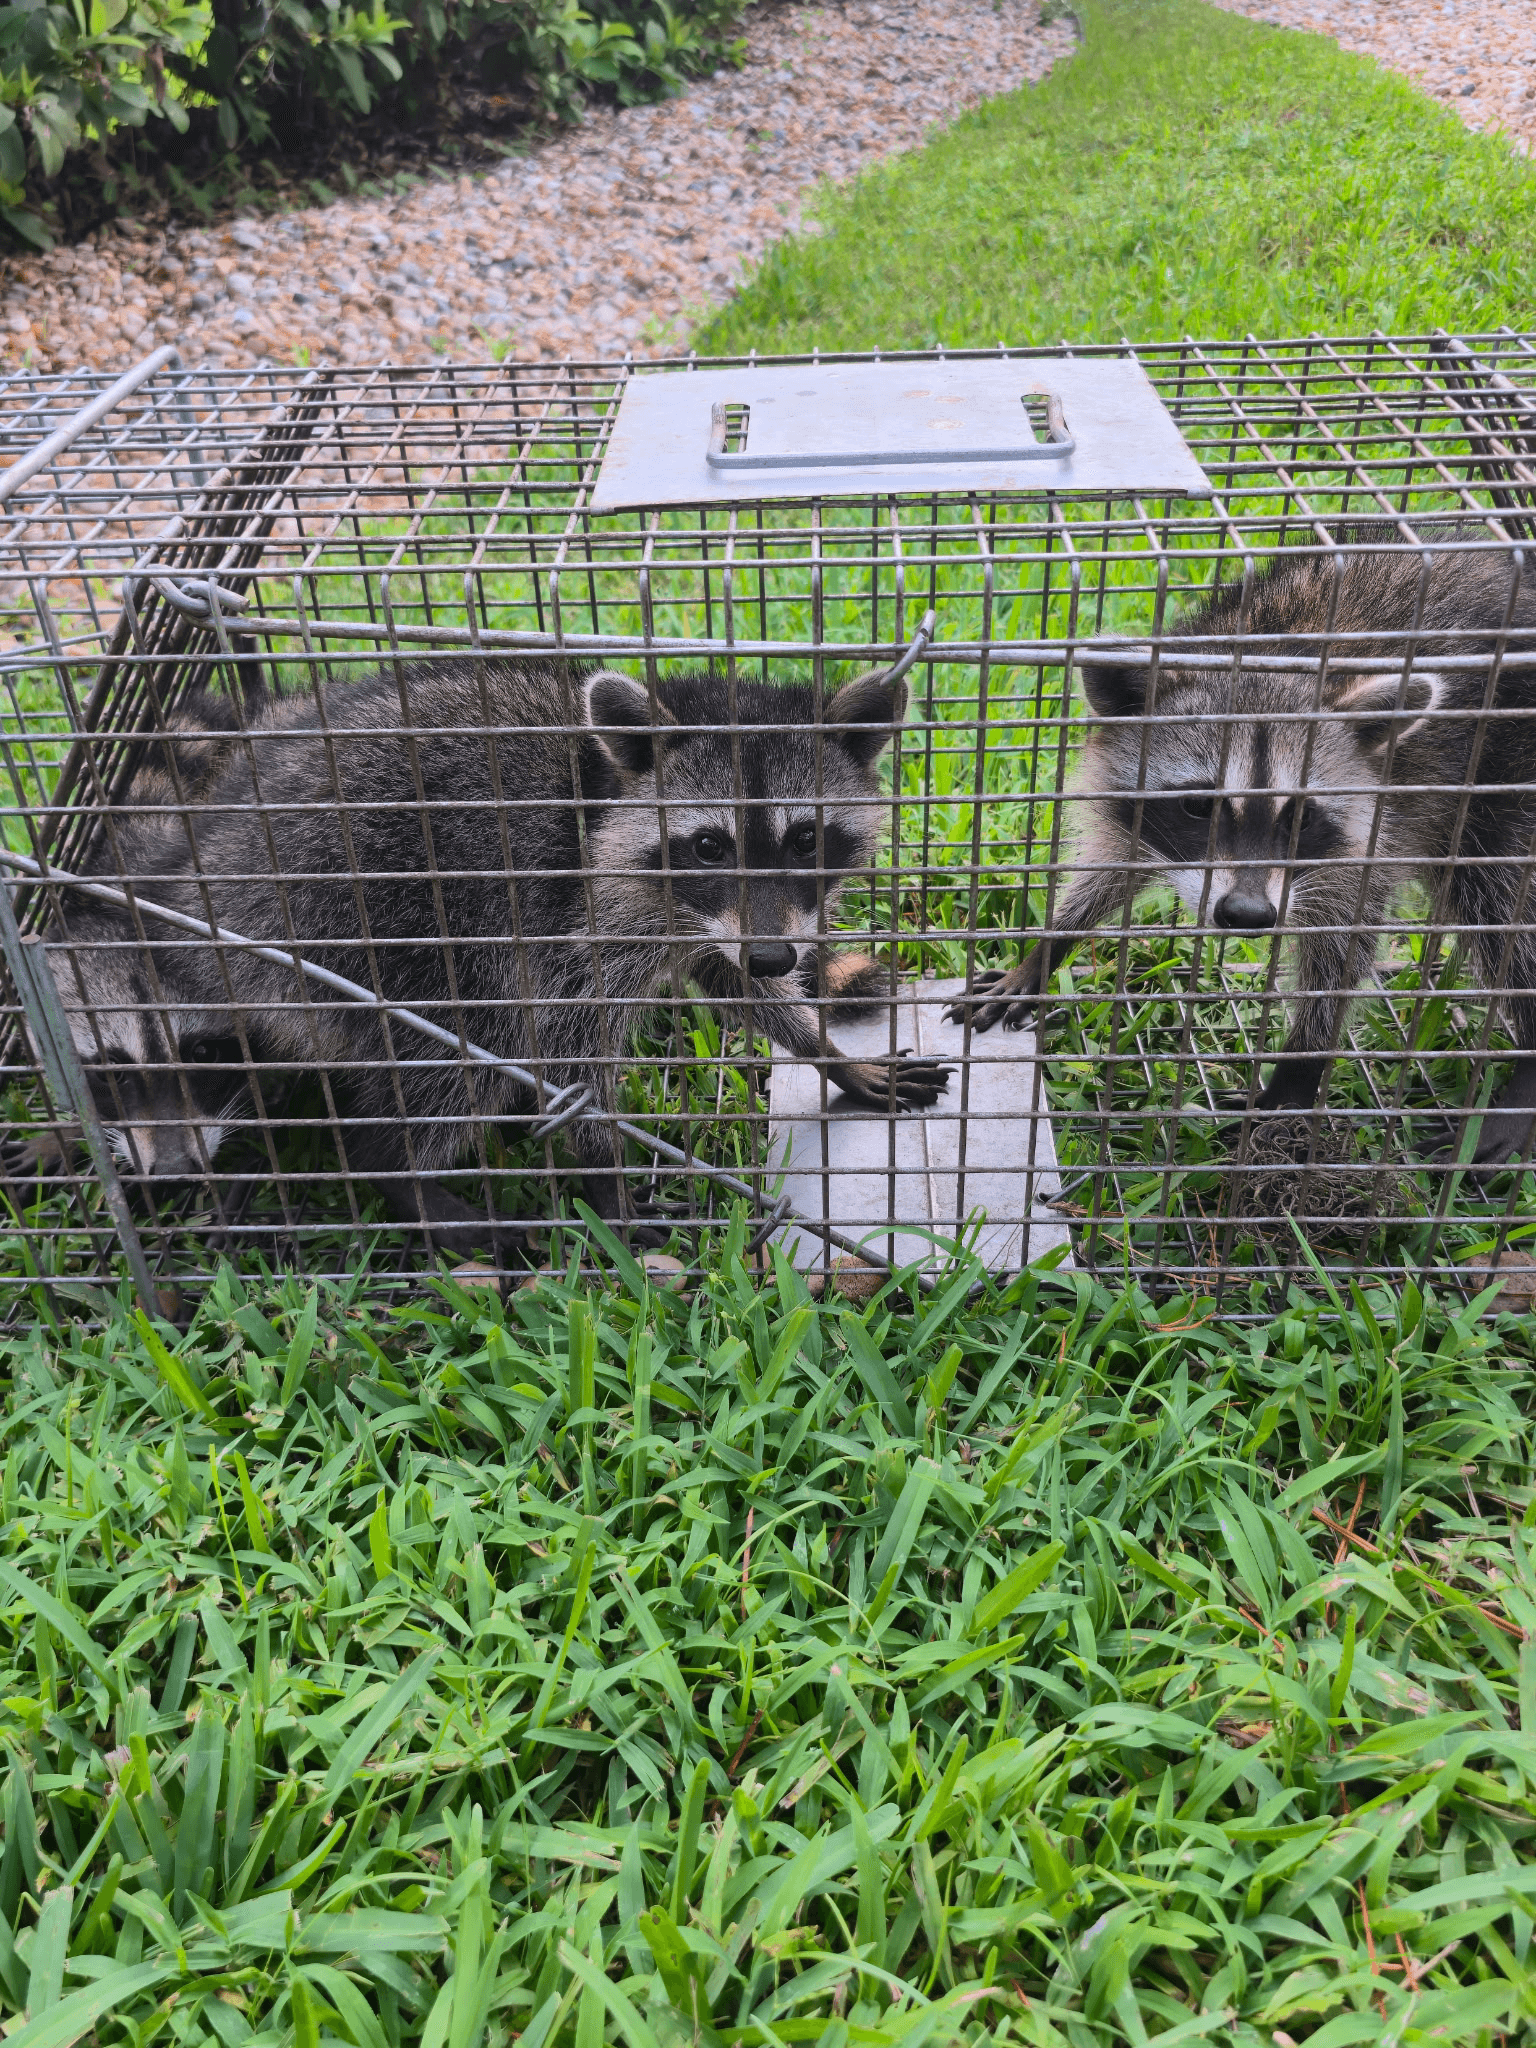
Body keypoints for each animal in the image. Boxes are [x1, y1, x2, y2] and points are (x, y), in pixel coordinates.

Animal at [35, 656, 948, 1248]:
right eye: (709, 845)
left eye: (805, 839)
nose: (774, 957)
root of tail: (190, 876)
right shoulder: (567, 913)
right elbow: (573, 1048)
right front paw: (606, 1180)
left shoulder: (717, 922)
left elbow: (728, 980)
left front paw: (826, 1052)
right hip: (359, 922)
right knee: (464, 1044)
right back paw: (404, 1180)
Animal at [953, 532, 1536, 1166]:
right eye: (1198, 807)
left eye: (1301, 815)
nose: (1248, 916)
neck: (1276, 651)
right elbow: (1109, 868)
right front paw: (1044, 953)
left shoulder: (1369, 834)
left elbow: (1343, 950)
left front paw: (1298, 1068)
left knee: (1503, 909)